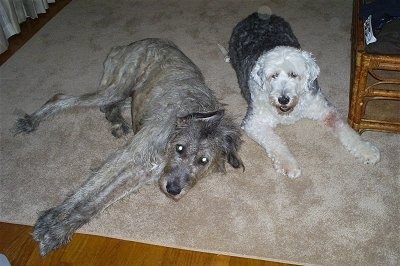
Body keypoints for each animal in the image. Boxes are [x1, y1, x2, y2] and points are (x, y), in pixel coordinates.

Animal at [13, 38, 244, 256]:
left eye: (203, 161)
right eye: (180, 148)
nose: (173, 189)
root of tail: (129, 44)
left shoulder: (143, 173)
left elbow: (96, 204)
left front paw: (58, 230)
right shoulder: (128, 156)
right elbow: (90, 188)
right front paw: (52, 218)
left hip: (131, 95)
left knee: (106, 106)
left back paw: (117, 121)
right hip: (118, 87)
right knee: (63, 97)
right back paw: (31, 120)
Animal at [230, 10, 380, 178]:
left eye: (293, 74)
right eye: (273, 75)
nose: (283, 99)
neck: (289, 112)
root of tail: (258, 13)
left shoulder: (324, 110)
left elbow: (345, 128)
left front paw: (367, 151)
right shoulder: (254, 122)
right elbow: (275, 141)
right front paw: (289, 164)